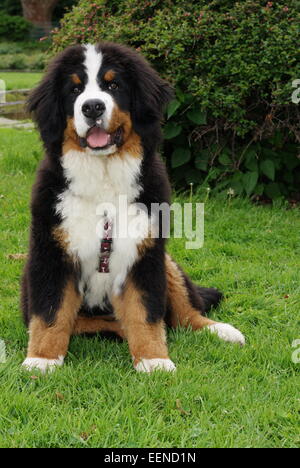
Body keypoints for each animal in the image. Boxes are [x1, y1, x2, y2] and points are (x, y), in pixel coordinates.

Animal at [21, 43, 246, 372]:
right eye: (74, 89)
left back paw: (221, 330)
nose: (92, 107)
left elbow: (145, 312)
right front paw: (41, 359)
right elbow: (51, 311)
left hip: (167, 264)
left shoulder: (145, 254)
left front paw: (155, 359)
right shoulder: (52, 253)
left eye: (113, 85)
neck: (103, 180)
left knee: (184, 312)